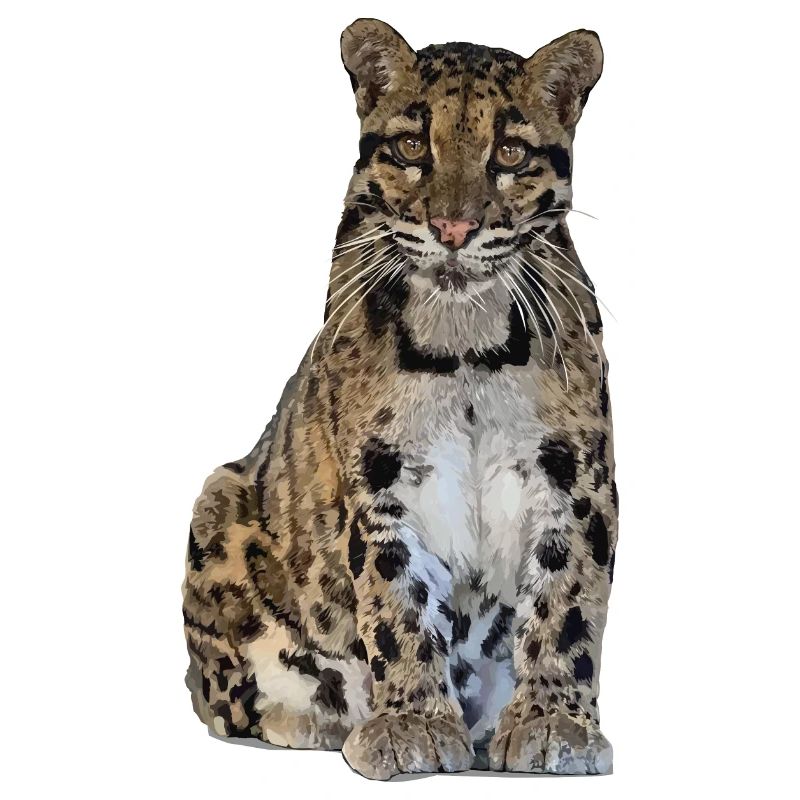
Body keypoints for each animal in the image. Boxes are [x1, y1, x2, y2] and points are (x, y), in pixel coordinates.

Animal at [182, 18, 617, 780]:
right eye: (414, 146)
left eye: (509, 151)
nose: (453, 229)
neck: (466, 345)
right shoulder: (378, 478)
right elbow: (397, 602)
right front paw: (412, 722)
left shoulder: (575, 476)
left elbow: (567, 600)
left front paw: (552, 721)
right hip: (218, 501)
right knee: (226, 697)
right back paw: (323, 717)